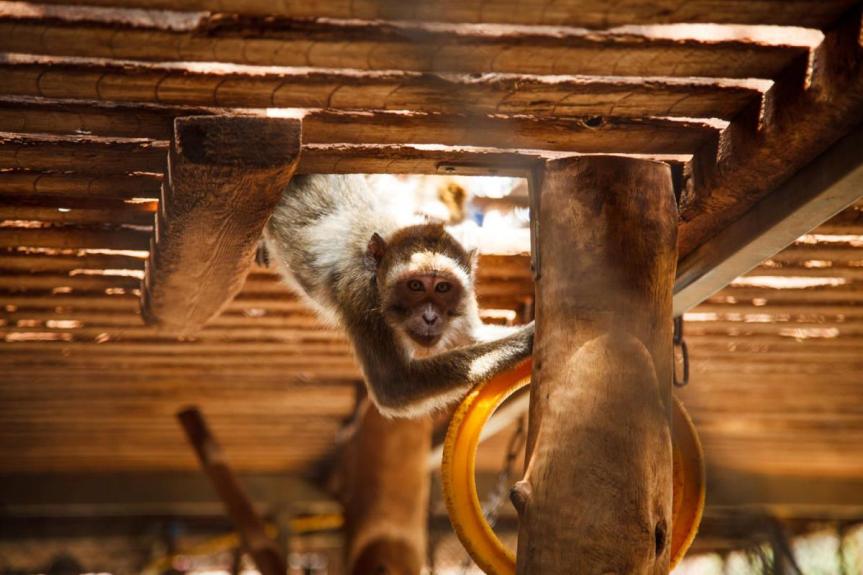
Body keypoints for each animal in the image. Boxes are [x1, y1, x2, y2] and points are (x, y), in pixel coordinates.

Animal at [263, 174, 534, 417]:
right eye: (415, 286)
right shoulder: (360, 295)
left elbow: (472, 336)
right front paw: (528, 340)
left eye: (443, 288)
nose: (429, 317)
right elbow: (395, 384)